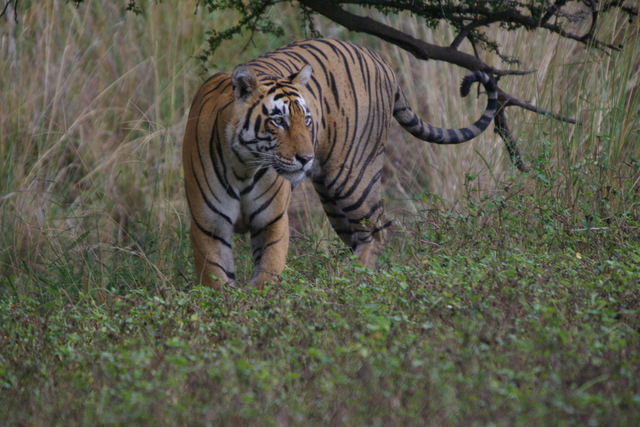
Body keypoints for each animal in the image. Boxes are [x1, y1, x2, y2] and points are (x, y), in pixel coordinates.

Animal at [182, 38, 498, 288]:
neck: (244, 167)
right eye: (278, 121)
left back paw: (348, 277)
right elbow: (216, 280)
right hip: (333, 200)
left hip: (352, 178)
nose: (306, 158)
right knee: (361, 234)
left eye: (307, 120)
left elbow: (268, 273)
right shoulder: (209, 226)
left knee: (379, 230)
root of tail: (378, 59)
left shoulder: (272, 222)